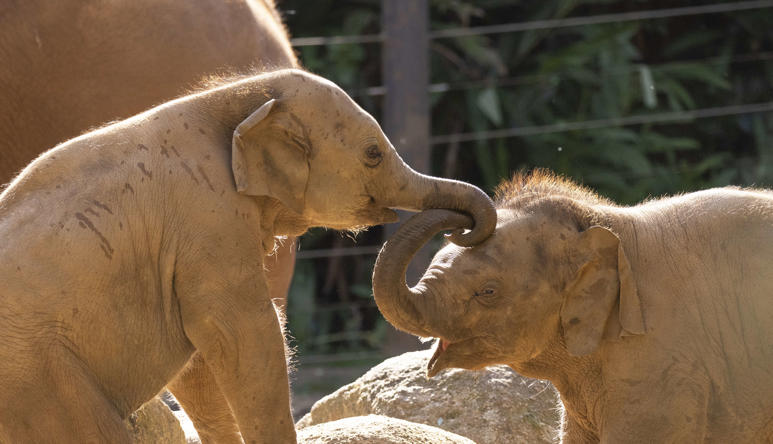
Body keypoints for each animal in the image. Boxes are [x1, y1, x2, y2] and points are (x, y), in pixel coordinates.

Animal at [0, 68, 494, 444]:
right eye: (373, 154)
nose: (464, 228)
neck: (238, 99)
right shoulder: (209, 220)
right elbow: (245, 334)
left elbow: (202, 357)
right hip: (38, 379)